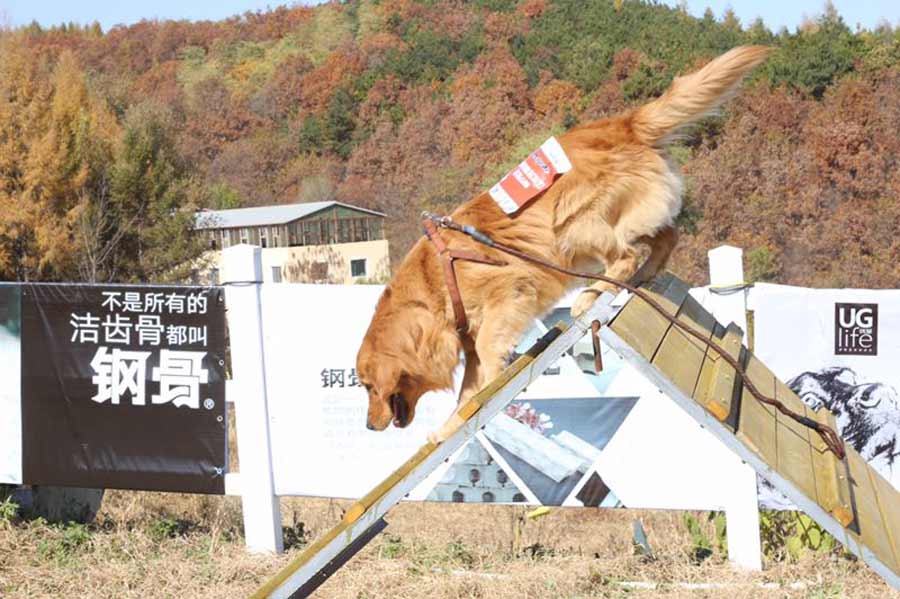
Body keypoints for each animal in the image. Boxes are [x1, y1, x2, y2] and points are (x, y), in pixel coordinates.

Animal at [356, 44, 768, 442]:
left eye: (369, 386)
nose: (369, 426)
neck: (435, 284)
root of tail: (625, 124)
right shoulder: (468, 342)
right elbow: (467, 394)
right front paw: (450, 426)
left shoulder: (507, 290)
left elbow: (488, 353)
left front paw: (492, 378)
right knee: (666, 237)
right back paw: (638, 280)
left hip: (572, 224)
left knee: (627, 254)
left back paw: (593, 294)